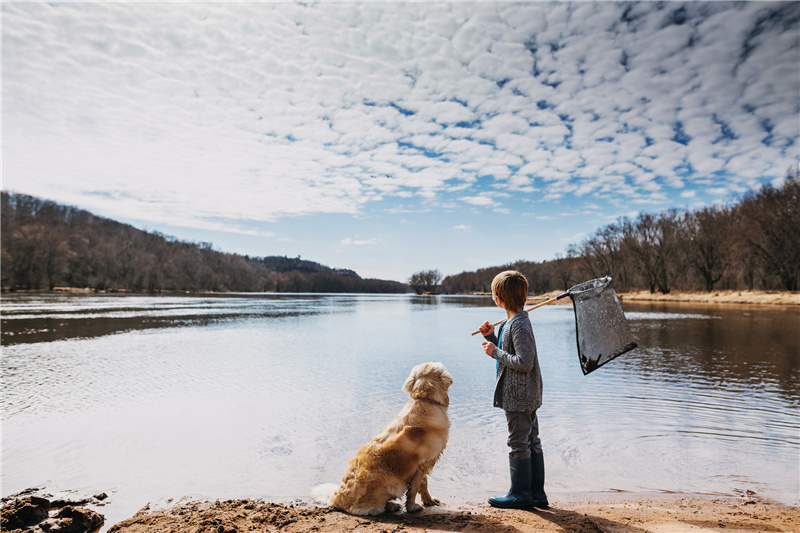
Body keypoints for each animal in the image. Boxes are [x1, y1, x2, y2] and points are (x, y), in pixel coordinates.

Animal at [322, 360, 454, 512]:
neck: (425, 401)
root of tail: (336, 499)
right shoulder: (423, 463)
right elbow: (415, 488)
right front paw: (412, 507)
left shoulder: (423, 463)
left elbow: (423, 483)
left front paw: (429, 500)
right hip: (394, 483)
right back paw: (391, 506)